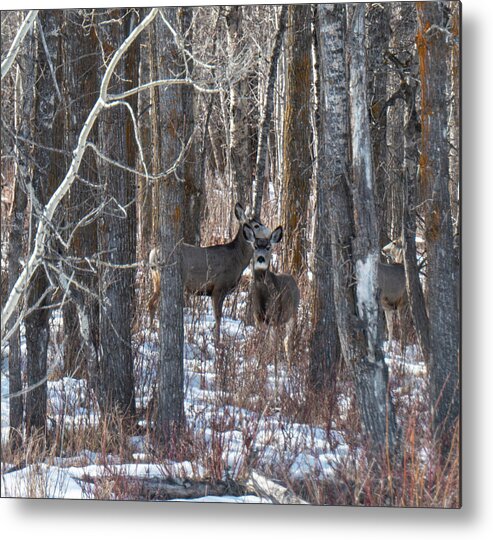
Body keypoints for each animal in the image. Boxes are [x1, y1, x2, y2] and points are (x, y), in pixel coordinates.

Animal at [148, 202, 270, 342]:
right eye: (256, 225)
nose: (270, 231)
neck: (237, 259)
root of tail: (153, 254)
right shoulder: (219, 287)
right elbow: (218, 316)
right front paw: (217, 340)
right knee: (152, 303)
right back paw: (151, 332)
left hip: (155, 279)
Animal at [243, 223, 300, 392]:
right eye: (255, 246)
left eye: (268, 247)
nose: (261, 258)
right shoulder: (258, 320)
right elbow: (261, 346)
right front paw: (257, 374)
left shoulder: (274, 317)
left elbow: (272, 347)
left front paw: (274, 379)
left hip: (292, 314)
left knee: (287, 341)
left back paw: (290, 373)